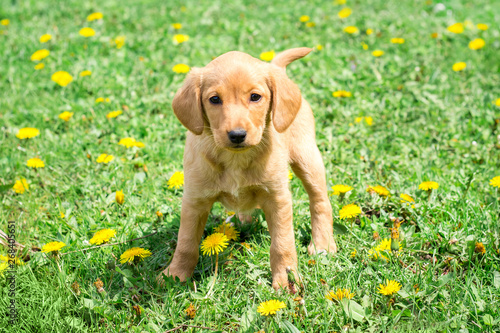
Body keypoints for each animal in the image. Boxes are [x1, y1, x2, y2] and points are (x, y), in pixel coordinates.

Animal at [162, 46, 338, 288]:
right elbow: (186, 243)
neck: (235, 159)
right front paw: (175, 275)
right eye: (214, 99)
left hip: (307, 157)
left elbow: (282, 243)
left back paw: (322, 244)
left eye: (255, 97)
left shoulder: (278, 198)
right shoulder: (194, 201)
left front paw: (286, 279)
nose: (237, 135)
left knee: (320, 201)